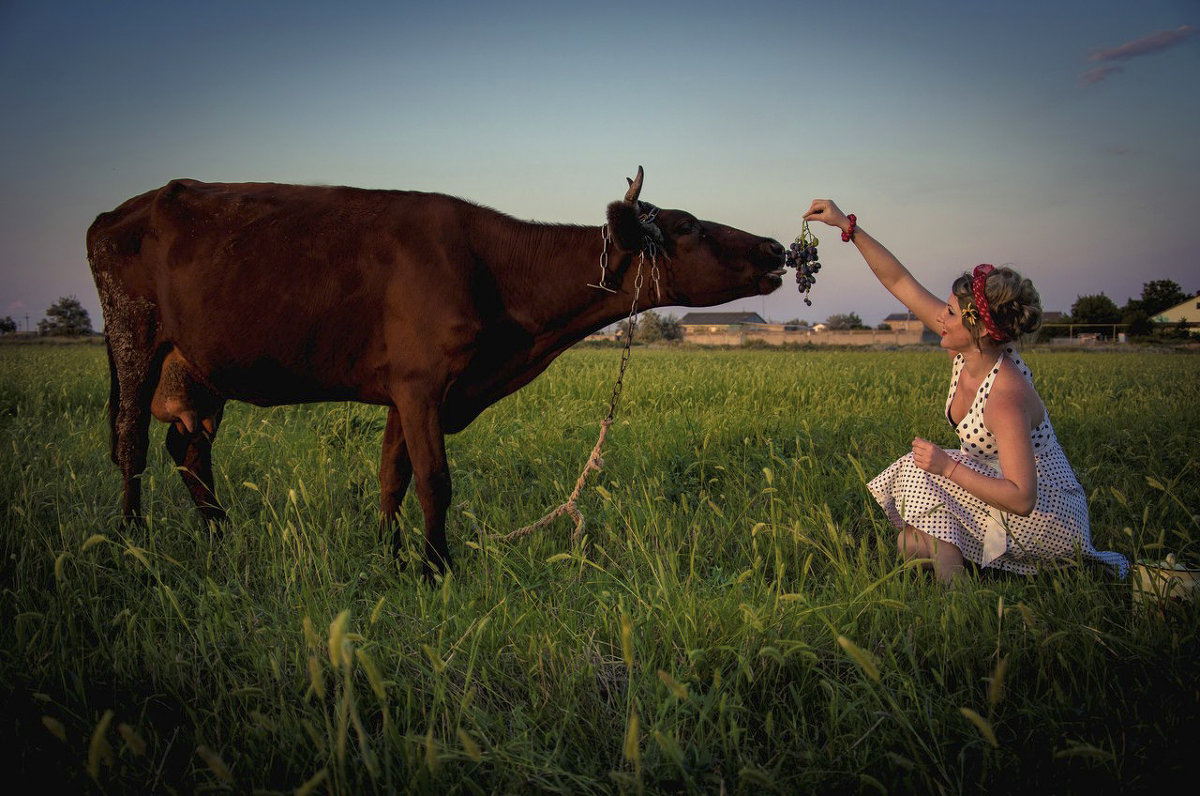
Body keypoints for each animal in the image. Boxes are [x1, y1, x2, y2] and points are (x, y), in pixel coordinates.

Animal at [87, 169, 787, 578]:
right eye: (687, 226)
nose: (776, 247)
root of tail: (123, 209)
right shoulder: (422, 384)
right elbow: (434, 481)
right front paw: (435, 568)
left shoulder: (406, 389)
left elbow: (391, 477)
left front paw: (389, 555)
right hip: (133, 335)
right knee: (132, 444)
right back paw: (132, 540)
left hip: (198, 371)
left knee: (188, 449)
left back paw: (221, 533)